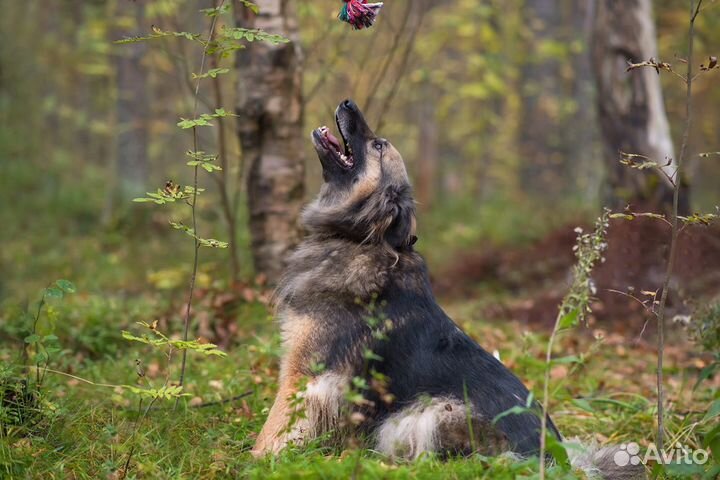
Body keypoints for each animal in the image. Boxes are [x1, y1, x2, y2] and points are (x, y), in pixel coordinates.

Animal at [255, 98, 648, 480]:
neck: (359, 238)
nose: (348, 102)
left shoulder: (306, 374)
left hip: (427, 412)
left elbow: (273, 426)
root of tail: (555, 462)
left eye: (378, 145)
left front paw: (258, 460)